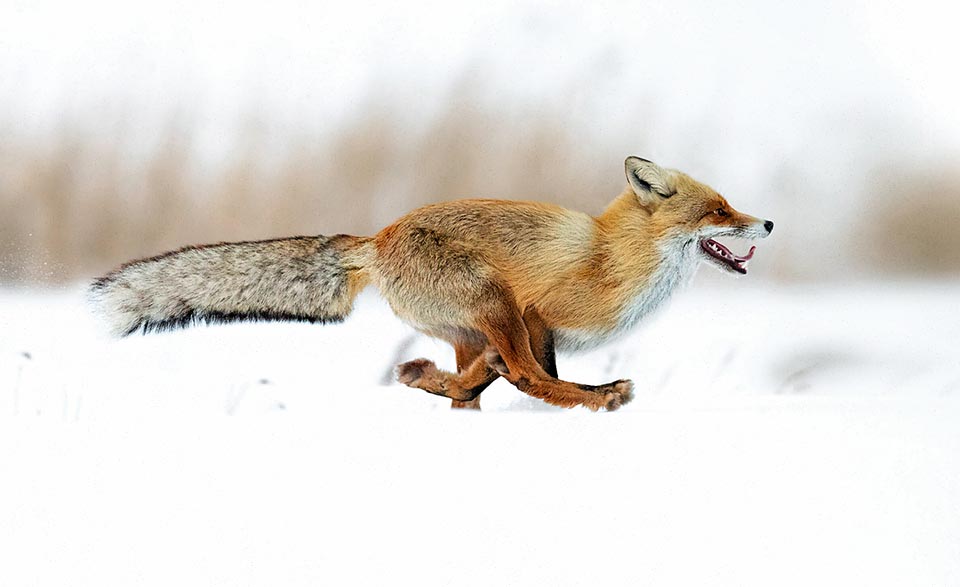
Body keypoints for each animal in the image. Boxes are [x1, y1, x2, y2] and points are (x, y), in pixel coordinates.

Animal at [92, 157, 772, 414]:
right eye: (718, 211)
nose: (766, 222)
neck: (613, 258)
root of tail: (379, 237)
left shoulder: (525, 326)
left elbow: (510, 375)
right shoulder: (536, 311)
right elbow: (539, 375)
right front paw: (582, 398)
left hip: (470, 325)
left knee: (467, 384)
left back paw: (431, 382)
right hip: (492, 300)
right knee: (513, 374)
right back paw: (596, 396)